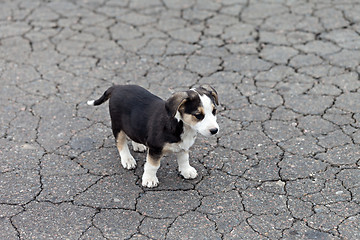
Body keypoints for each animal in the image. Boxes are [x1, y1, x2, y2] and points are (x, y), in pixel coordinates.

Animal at [88, 84, 219, 188]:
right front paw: (149, 180)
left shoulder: (183, 146)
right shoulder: (155, 148)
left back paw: (138, 145)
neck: (181, 125)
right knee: (120, 143)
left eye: (214, 111)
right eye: (198, 115)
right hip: (117, 125)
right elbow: (152, 165)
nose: (215, 130)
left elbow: (184, 159)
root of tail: (117, 87)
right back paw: (128, 159)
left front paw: (187, 171)